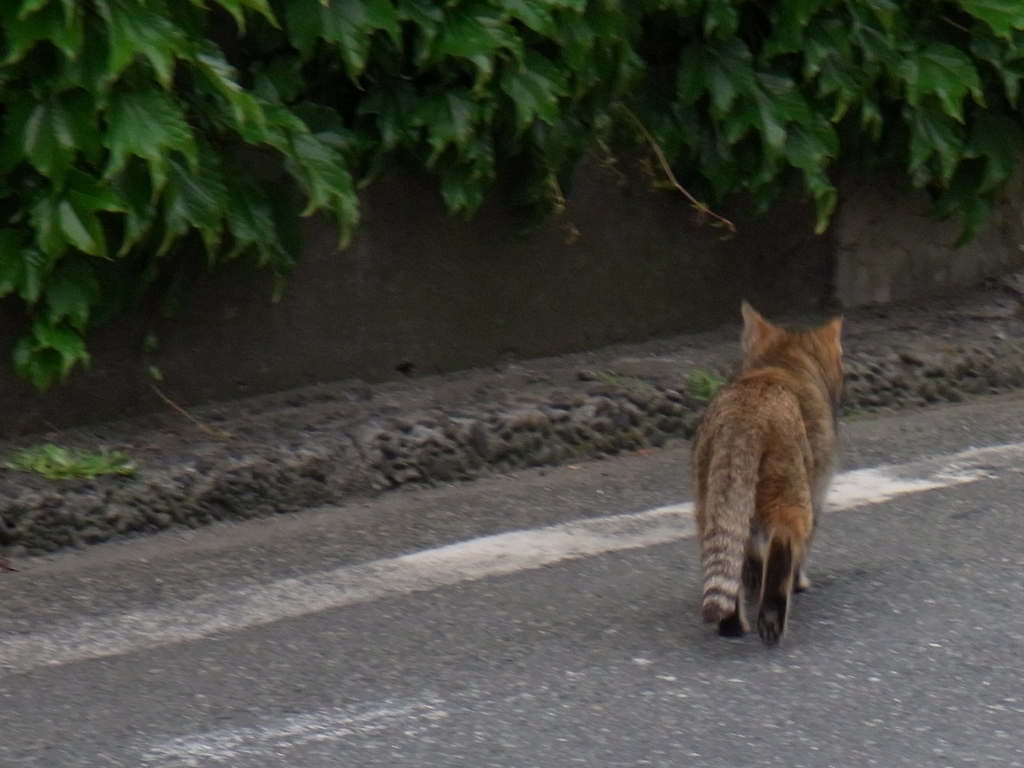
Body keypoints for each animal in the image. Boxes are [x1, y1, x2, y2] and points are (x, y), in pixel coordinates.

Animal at [693, 301, 844, 645]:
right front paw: (798, 582)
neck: (782, 362)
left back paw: (732, 623)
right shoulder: (817, 490)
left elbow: (745, 556)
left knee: (728, 553)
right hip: (790, 490)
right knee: (784, 542)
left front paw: (752, 581)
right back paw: (772, 615)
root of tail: (744, 419)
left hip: (712, 499)